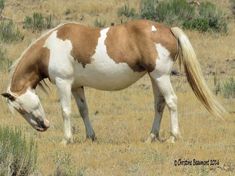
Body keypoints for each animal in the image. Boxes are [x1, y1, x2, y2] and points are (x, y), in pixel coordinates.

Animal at [1, 20, 226, 144]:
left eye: (21, 109)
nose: (43, 126)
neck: (50, 48)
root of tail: (168, 29)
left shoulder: (63, 83)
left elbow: (66, 111)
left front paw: (66, 139)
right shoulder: (77, 86)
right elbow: (83, 110)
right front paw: (90, 137)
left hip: (161, 76)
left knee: (171, 102)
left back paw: (173, 136)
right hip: (155, 77)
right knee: (159, 105)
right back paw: (151, 137)